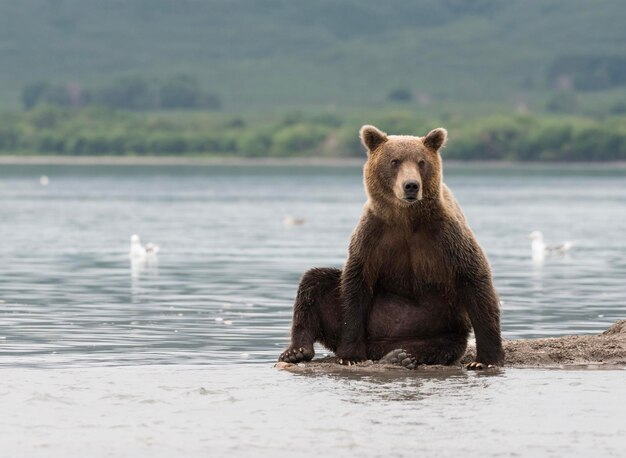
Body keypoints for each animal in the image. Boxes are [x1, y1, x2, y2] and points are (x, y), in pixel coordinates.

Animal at [280, 124, 504, 368]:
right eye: (395, 161)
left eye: (421, 162)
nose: (411, 186)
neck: (405, 219)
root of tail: (380, 345)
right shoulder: (373, 236)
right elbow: (355, 287)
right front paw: (350, 355)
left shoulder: (447, 236)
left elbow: (474, 278)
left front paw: (485, 360)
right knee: (314, 283)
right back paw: (297, 350)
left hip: (441, 328)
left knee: (437, 348)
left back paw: (401, 356)